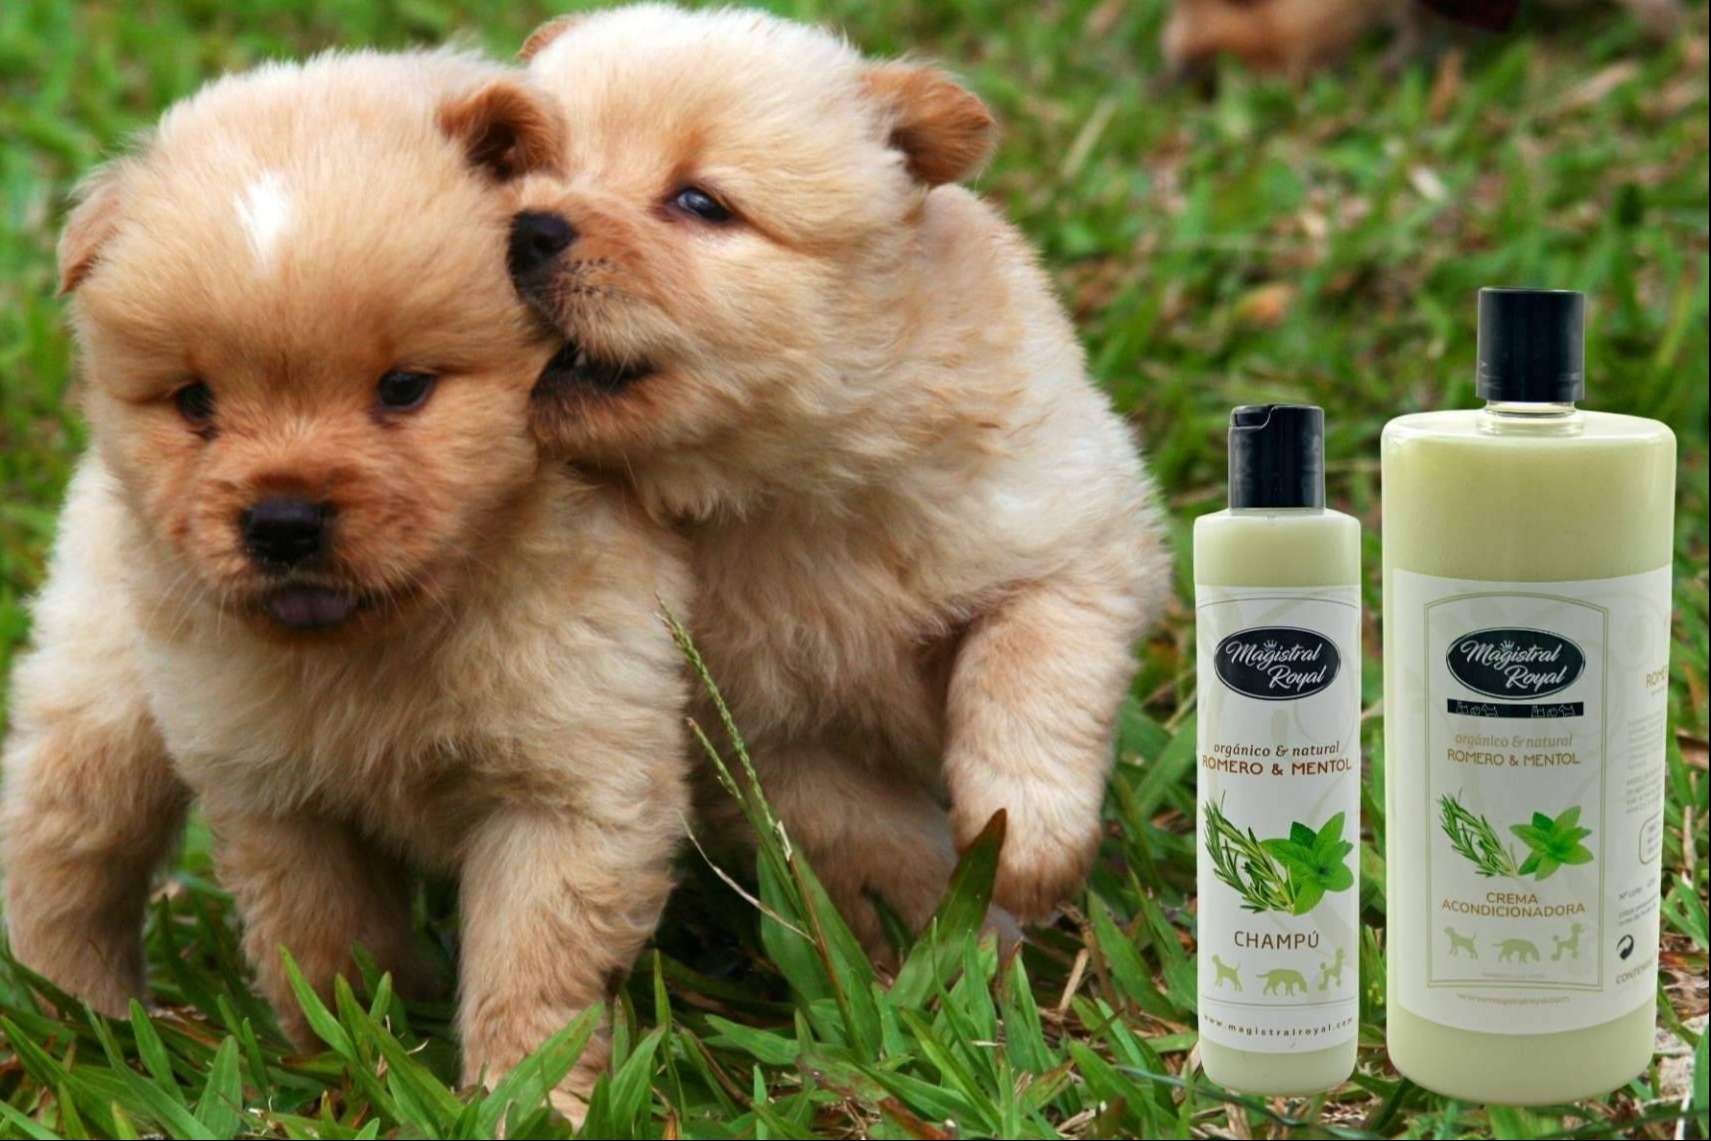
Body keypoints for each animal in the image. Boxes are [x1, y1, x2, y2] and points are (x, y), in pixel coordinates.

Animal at [0, 51, 690, 1119]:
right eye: (195, 402)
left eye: (403, 388)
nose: (282, 519)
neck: (382, 648)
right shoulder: (276, 792)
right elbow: (326, 948)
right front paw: (358, 1067)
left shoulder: (572, 785)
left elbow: (533, 972)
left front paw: (527, 1103)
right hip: (105, 696)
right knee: (61, 851)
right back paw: (74, 1036)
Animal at [509, 5, 1168, 953]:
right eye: (519, 164)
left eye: (699, 203)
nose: (525, 227)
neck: (784, 493)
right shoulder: (764, 731)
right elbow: (872, 840)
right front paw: (955, 945)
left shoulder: (1073, 536)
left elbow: (1026, 672)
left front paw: (1023, 848)